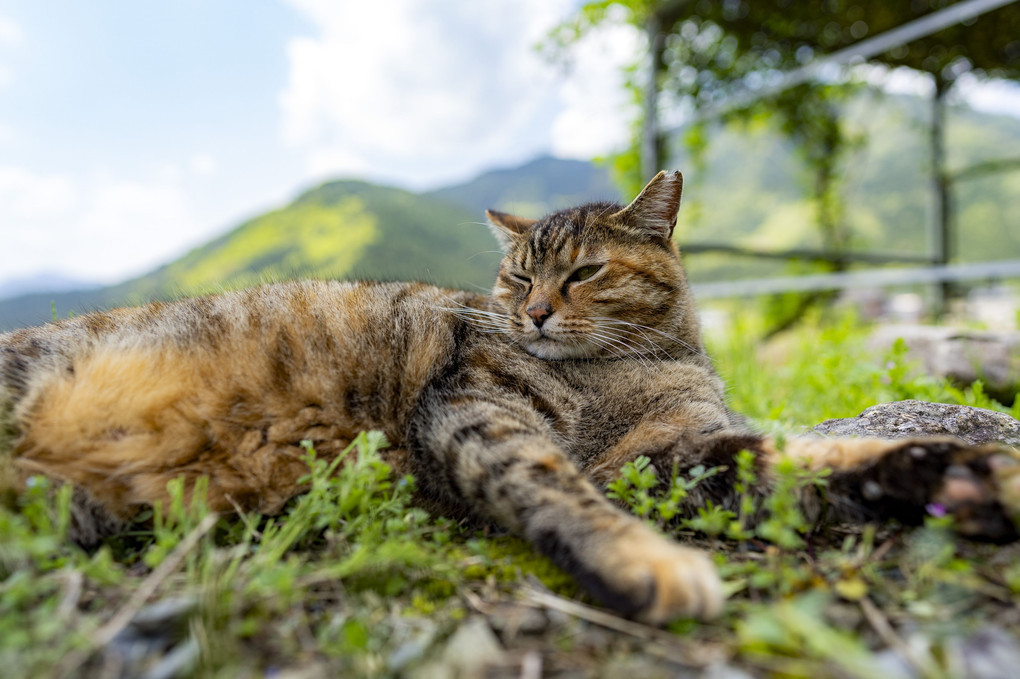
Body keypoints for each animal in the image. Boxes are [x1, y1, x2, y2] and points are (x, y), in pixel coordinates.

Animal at [1, 170, 1020, 623]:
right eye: (518, 275)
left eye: (585, 272)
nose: (532, 312)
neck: (627, 370)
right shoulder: (474, 409)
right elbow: (549, 480)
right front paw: (644, 562)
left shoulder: (676, 451)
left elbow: (811, 458)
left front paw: (961, 474)